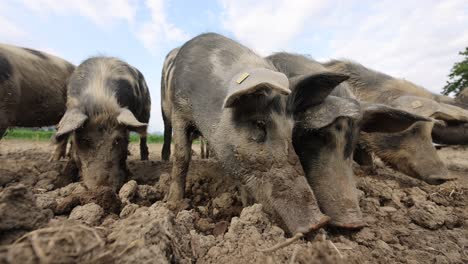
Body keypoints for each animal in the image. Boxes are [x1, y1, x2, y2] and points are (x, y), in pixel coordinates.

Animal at [54, 56, 151, 191]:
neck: (99, 101)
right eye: (85, 140)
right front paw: (60, 183)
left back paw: (145, 159)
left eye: (117, 140)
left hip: (146, 110)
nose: (103, 188)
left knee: (143, 134)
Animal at [161, 32, 354, 233]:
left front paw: (247, 209)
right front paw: (172, 205)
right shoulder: (179, 110)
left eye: (291, 130)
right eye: (259, 124)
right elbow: (182, 157)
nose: (319, 222)